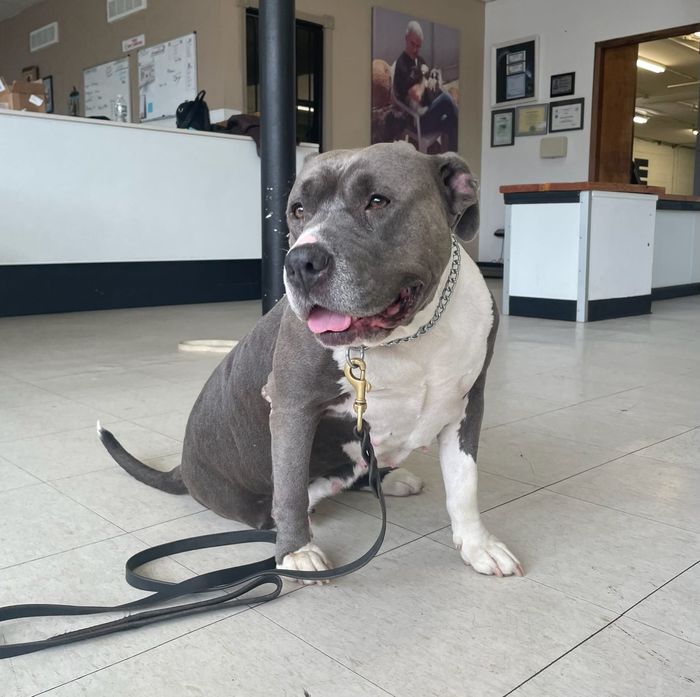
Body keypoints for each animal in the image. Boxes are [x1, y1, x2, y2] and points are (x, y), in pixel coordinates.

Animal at [101, 140, 524, 576]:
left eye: (377, 200)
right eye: (298, 209)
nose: (300, 262)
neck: (407, 336)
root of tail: (183, 469)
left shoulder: (467, 405)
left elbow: (464, 484)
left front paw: (478, 544)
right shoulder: (292, 405)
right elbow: (289, 486)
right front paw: (295, 552)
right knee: (286, 499)